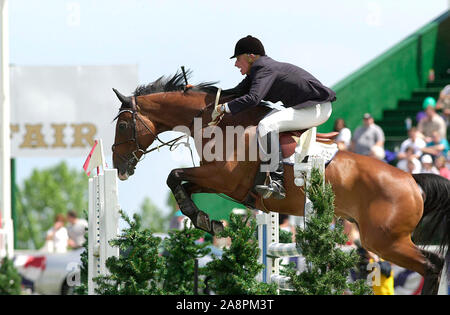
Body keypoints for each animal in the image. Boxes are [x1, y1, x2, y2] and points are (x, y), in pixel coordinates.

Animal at [110, 70, 448, 296]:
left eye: (124, 125)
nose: (118, 167)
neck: (218, 123)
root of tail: (412, 181)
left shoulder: (222, 179)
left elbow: (175, 175)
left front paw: (205, 220)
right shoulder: (216, 181)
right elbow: (180, 183)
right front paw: (205, 220)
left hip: (384, 240)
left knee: (431, 264)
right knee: (433, 263)